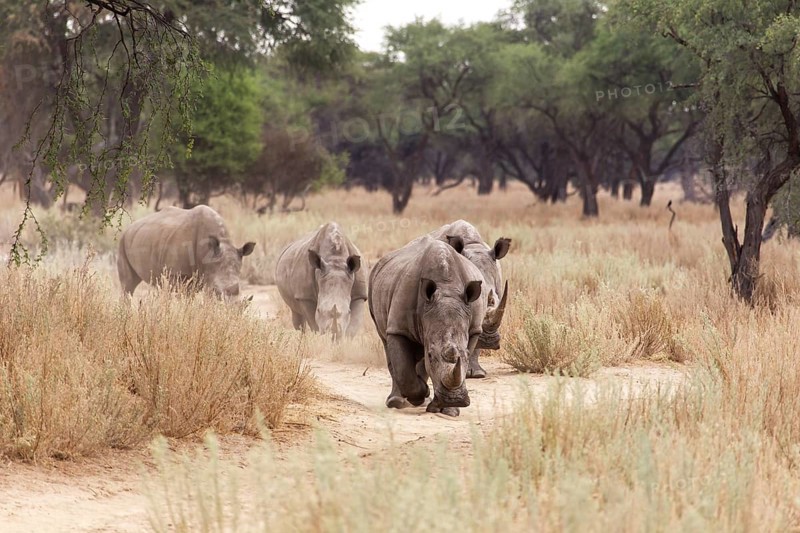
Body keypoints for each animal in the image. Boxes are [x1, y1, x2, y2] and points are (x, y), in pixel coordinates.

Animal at [117, 205, 256, 299]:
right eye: (216, 290)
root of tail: (128, 228)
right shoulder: (178, 274)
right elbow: (184, 297)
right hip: (122, 241)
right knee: (128, 285)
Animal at [369, 235, 487, 417]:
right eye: (431, 355)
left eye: (467, 354)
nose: (455, 400)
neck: (447, 288)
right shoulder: (398, 328)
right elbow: (403, 368)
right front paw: (420, 396)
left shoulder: (474, 329)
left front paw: (450, 411)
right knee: (387, 345)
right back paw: (398, 401)